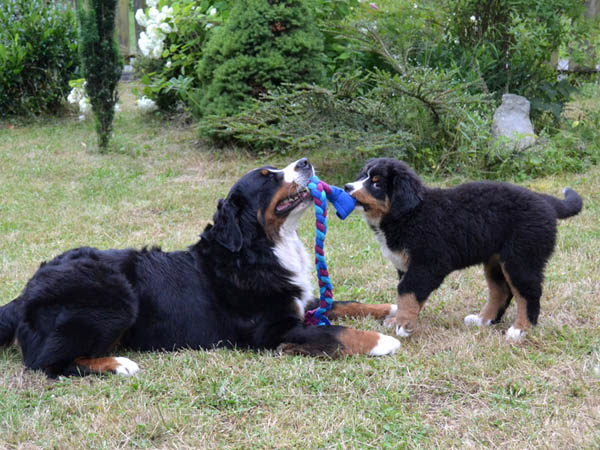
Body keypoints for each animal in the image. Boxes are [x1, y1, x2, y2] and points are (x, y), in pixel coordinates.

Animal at [1, 158, 404, 376]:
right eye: (268, 177)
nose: (305, 162)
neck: (261, 248)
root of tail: (27, 291)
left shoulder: (299, 302)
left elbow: (343, 305)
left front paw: (390, 309)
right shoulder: (273, 330)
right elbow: (336, 331)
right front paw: (381, 341)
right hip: (115, 296)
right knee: (45, 362)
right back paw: (118, 364)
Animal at [344, 158, 584, 342]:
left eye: (376, 184)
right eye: (362, 176)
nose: (347, 187)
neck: (409, 215)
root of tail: (544, 199)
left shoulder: (427, 264)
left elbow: (407, 292)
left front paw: (403, 324)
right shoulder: (406, 266)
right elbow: (410, 295)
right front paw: (400, 320)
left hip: (521, 258)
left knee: (528, 293)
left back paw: (520, 329)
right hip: (496, 261)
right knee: (501, 291)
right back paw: (483, 320)